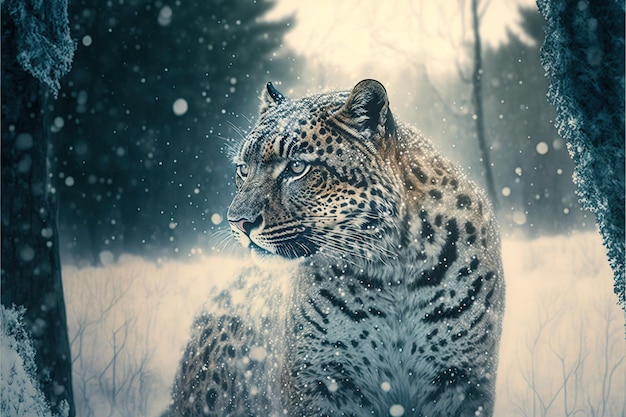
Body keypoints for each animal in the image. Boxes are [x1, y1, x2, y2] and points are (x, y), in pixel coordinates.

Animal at [165, 79, 502, 416]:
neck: (391, 271)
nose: (237, 221)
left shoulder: (461, 379)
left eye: (297, 167)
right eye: (243, 170)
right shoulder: (322, 382)